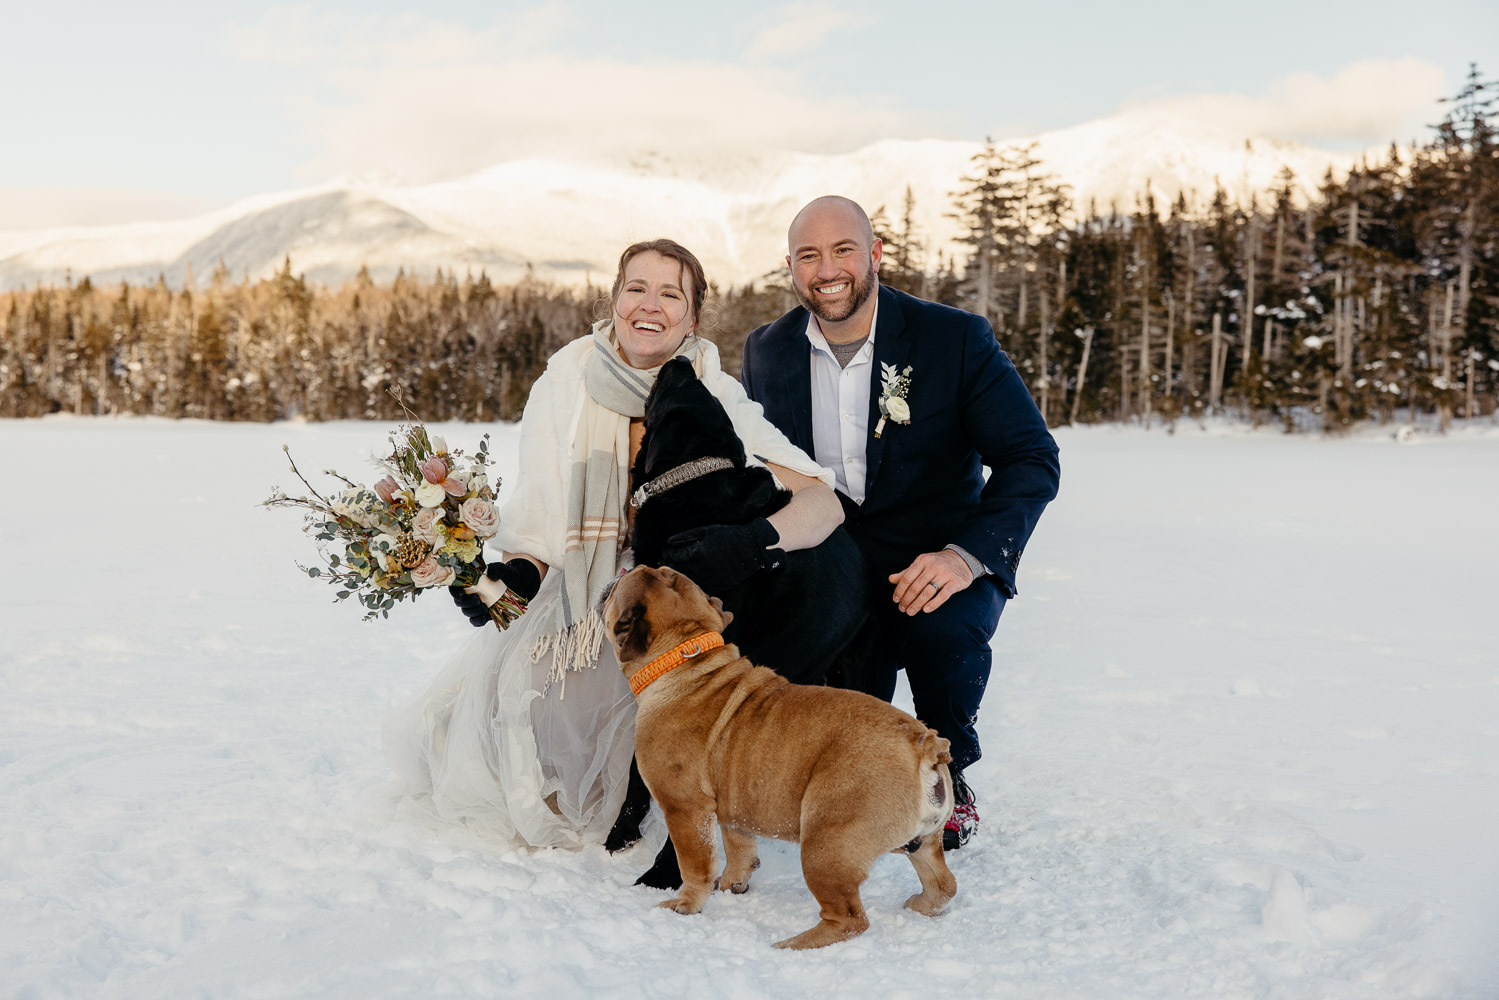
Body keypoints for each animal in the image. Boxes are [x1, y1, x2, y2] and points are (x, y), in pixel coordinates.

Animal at [605, 355, 869, 887]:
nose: (681, 359)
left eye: (680, 390)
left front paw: (666, 874)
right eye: (699, 388)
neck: (693, 484)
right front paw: (623, 833)